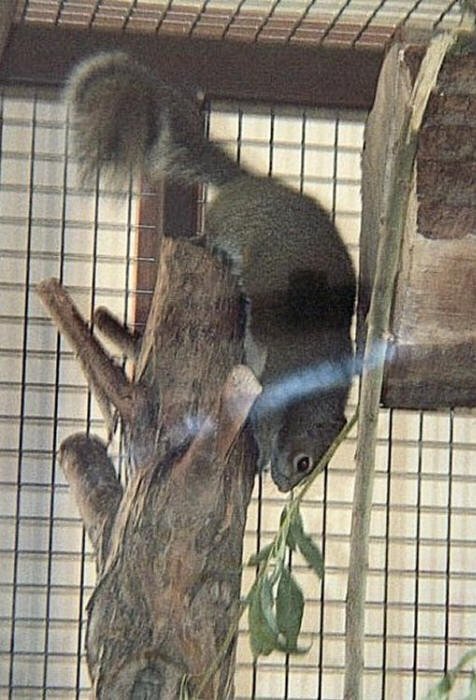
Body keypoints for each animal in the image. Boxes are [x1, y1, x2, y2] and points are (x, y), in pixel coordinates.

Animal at [65, 52, 356, 492]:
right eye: (304, 462)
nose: (284, 487)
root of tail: (249, 185)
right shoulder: (276, 389)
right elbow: (263, 423)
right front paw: (262, 457)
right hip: (232, 228)